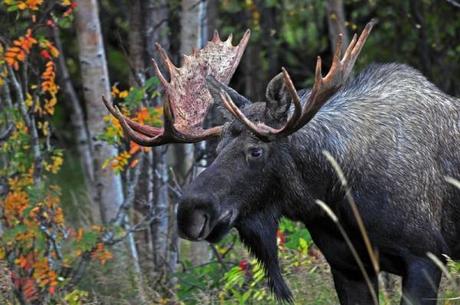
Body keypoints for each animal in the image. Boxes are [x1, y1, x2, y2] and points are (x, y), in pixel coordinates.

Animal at [104, 20, 460, 302]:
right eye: (217, 148)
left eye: (256, 150)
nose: (189, 212)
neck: (335, 192)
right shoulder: (348, 267)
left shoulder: (424, 257)